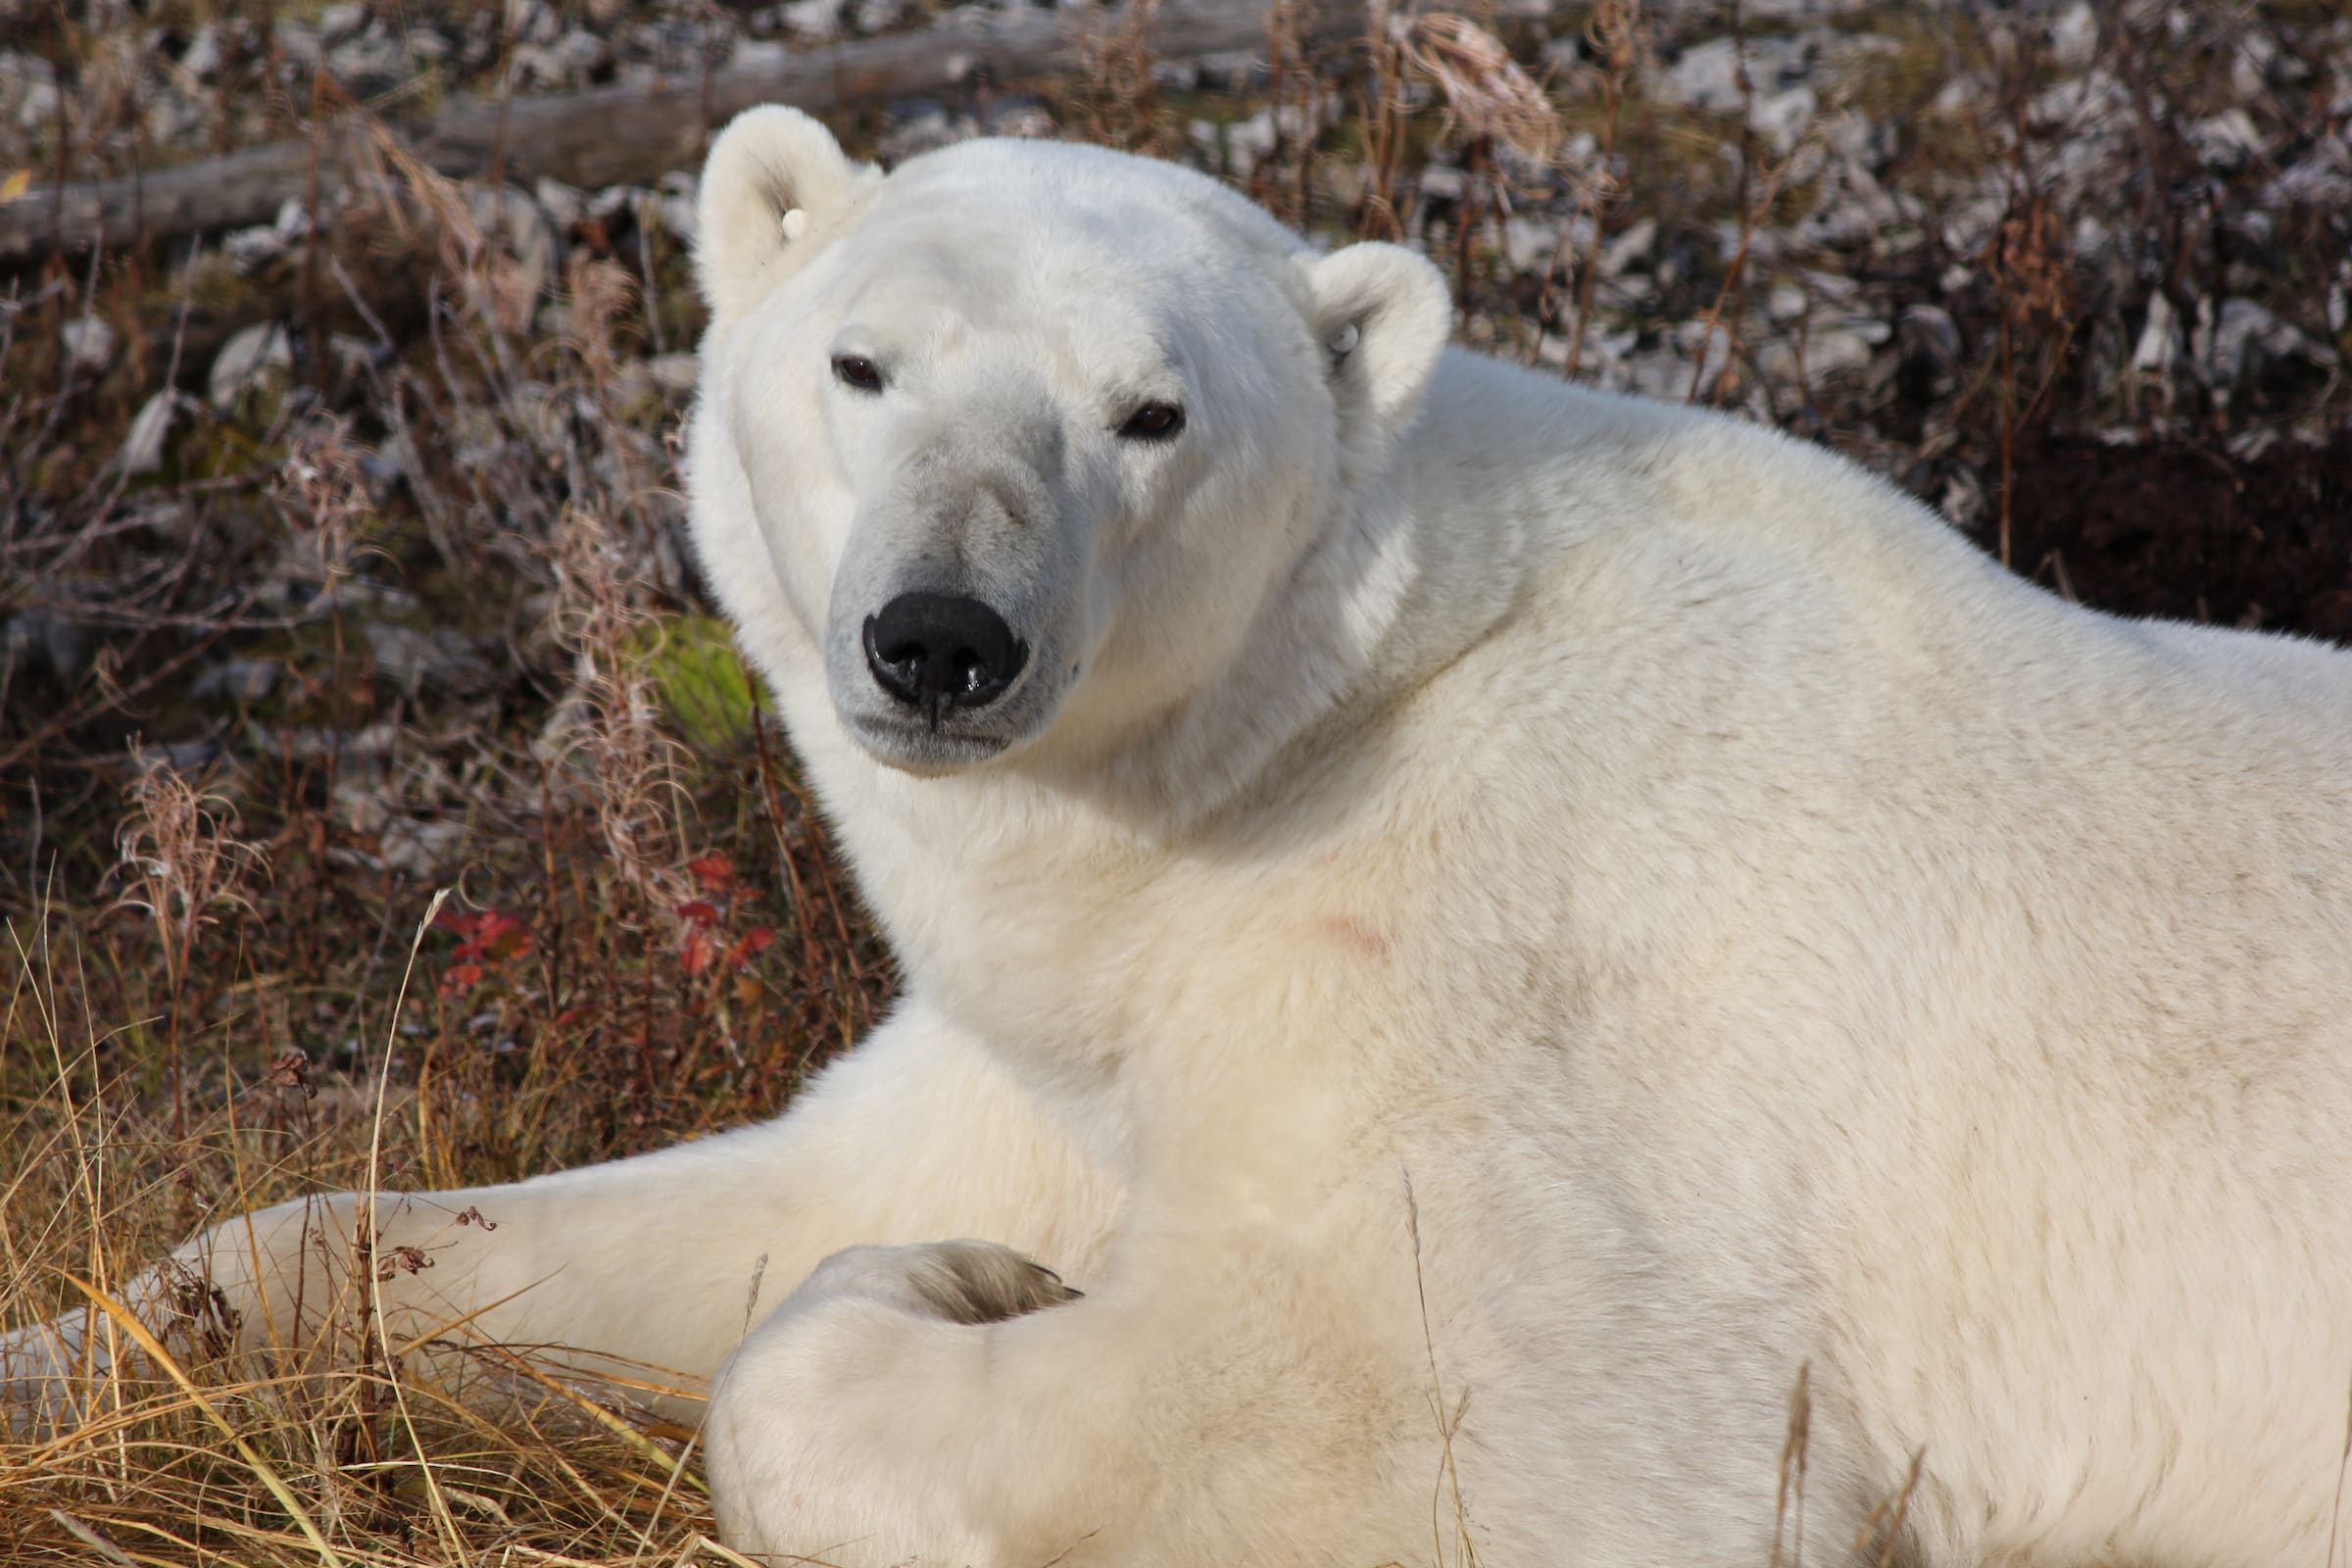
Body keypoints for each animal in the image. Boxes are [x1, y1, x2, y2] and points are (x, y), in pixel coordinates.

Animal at [10, 104, 2352, 1567]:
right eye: (862, 363)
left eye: (1153, 414)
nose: (941, 639)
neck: (1306, 732)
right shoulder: (1073, 1004)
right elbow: (739, 1190)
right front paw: (84, 1354)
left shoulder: (1487, 989)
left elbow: (1460, 1416)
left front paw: (948, 1285)